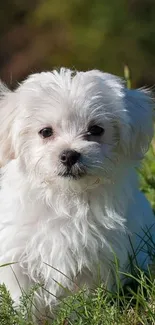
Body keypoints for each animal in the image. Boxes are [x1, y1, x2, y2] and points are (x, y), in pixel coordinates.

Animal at [0, 67, 154, 312]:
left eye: (96, 130)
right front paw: (26, 315)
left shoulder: (97, 258)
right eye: (45, 132)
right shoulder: (17, 254)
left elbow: (84, 298)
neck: (66, 197)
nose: (69, 155)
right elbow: (22, 296)